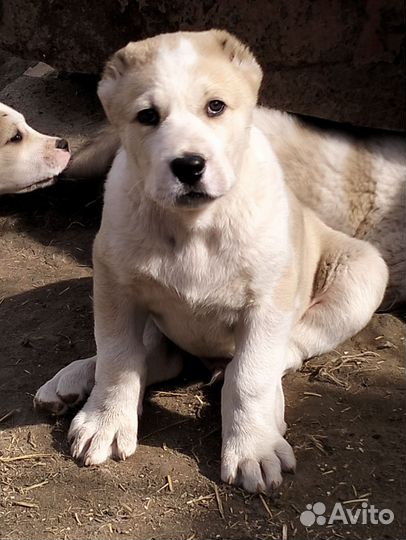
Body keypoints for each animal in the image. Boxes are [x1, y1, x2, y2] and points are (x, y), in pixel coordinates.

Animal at [34, 30, 386, 494]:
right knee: (151, 355)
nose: (189, 166)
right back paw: (72, 381)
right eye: (147, 116)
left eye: (215, 107)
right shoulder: (114, 284)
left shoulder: (267, 305)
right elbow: (117, 355)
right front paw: (106, 420)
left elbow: (251, 375)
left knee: (281, 353)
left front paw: (253, 446)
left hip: (363, 274)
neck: (196, 225)